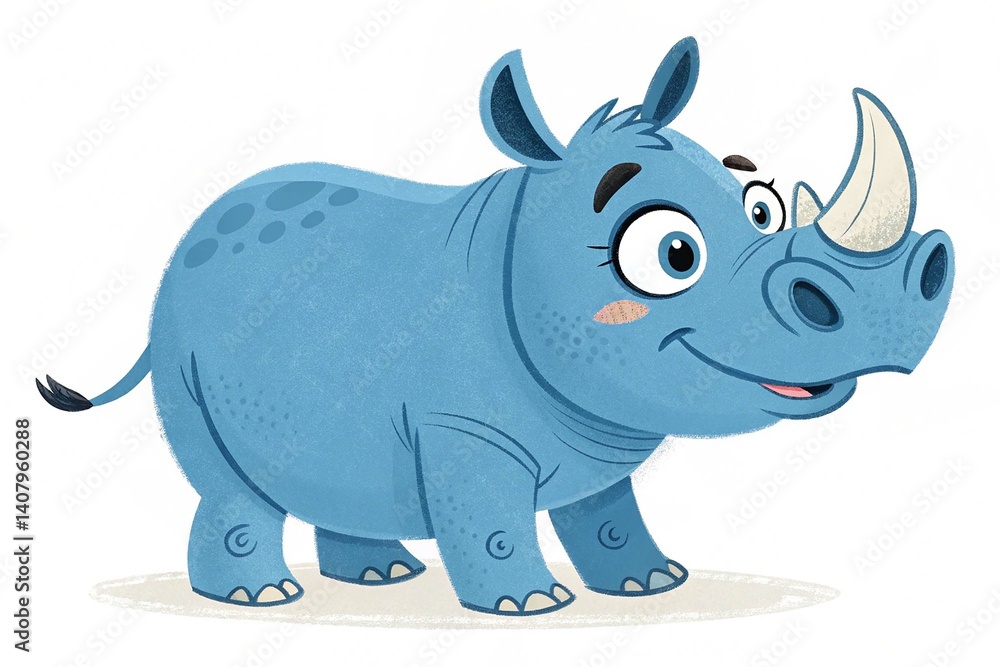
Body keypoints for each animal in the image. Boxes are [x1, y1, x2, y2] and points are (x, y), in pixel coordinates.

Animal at [38, 37, 953, 616]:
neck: (523, 237)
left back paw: (379, 576)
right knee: (233, 483)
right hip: (180, 338)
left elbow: (608, 515)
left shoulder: (595, 426)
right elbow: (493, 521)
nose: (895, 314)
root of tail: (178, 248)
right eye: (672, 253)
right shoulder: (465, 426)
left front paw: (651, 585)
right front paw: (528, 604)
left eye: (761, 205)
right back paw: (259, 597)